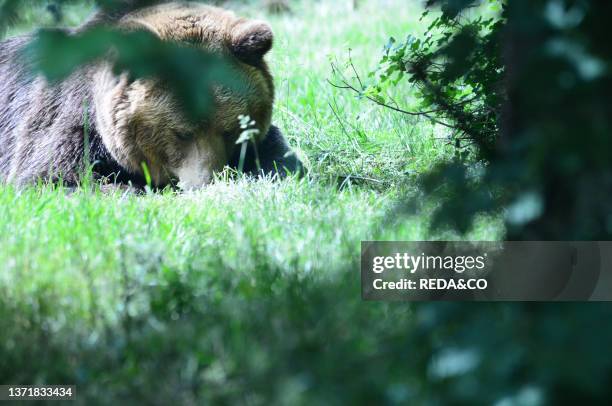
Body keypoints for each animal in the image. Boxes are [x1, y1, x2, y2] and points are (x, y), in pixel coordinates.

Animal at [0, 1, 302, 190]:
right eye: (181, 133)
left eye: (230, 130)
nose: (206, 182)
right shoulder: (69, 122)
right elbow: (52, 178)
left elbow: (283, 160)